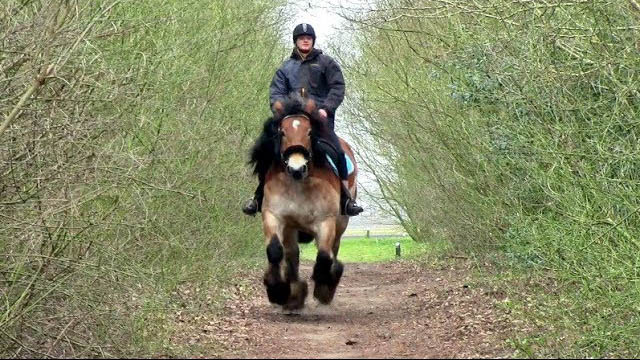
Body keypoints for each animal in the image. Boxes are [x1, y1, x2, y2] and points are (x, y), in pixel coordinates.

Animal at [250, 97, 360, 310]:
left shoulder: (326, 221)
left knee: (332, 250)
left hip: (341, 223)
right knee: (291, 254)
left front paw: (322, 286)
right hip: (291, 228)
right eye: (282, 132)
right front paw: (278, 291)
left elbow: (324, 256)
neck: (298, 184)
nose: (297, 168)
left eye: (309, 132)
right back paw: (294, 294)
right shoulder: (274, 216)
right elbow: (275, 250)